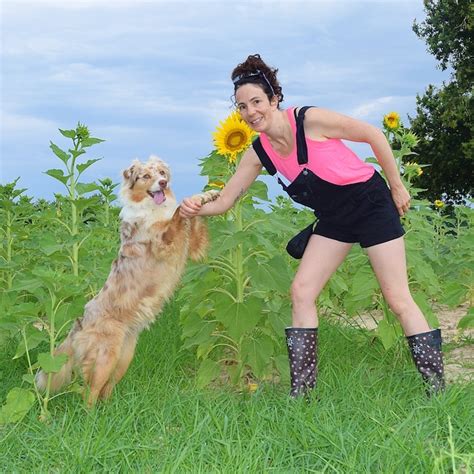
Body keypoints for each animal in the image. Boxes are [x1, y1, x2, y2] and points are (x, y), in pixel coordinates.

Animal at [36, 156, 219, 408]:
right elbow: (177, 214)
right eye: (146, 176)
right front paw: (187, 204)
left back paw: (111, 409)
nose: (163, 183)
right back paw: (91, 416)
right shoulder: (163, 243)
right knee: (89, 393)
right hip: (105, 358)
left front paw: (206, 196)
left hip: (124, 358)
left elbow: (192, 218)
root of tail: (79, 322)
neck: (152, 207)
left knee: (106, 389)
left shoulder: (193, 248)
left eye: (162, 173)